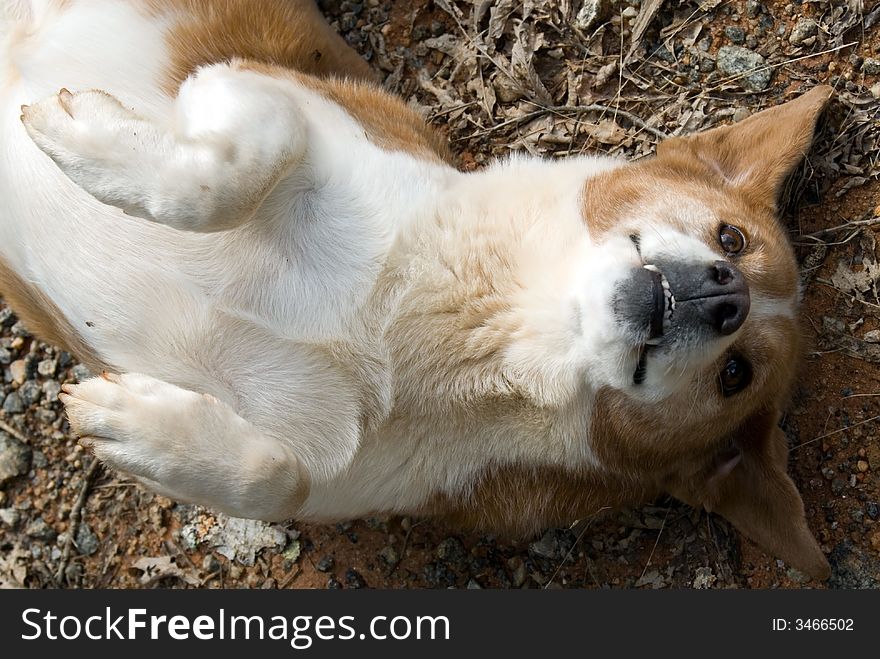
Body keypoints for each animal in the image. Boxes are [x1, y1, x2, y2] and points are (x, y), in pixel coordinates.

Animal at [0, 0, 836, 580]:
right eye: (732, 239)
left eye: (737, 375)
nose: (726, 296)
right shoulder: (268, 93)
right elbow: (232, 169)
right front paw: (90, 140)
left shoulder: (327, 478)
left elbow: (274, 476)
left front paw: (141, 428)